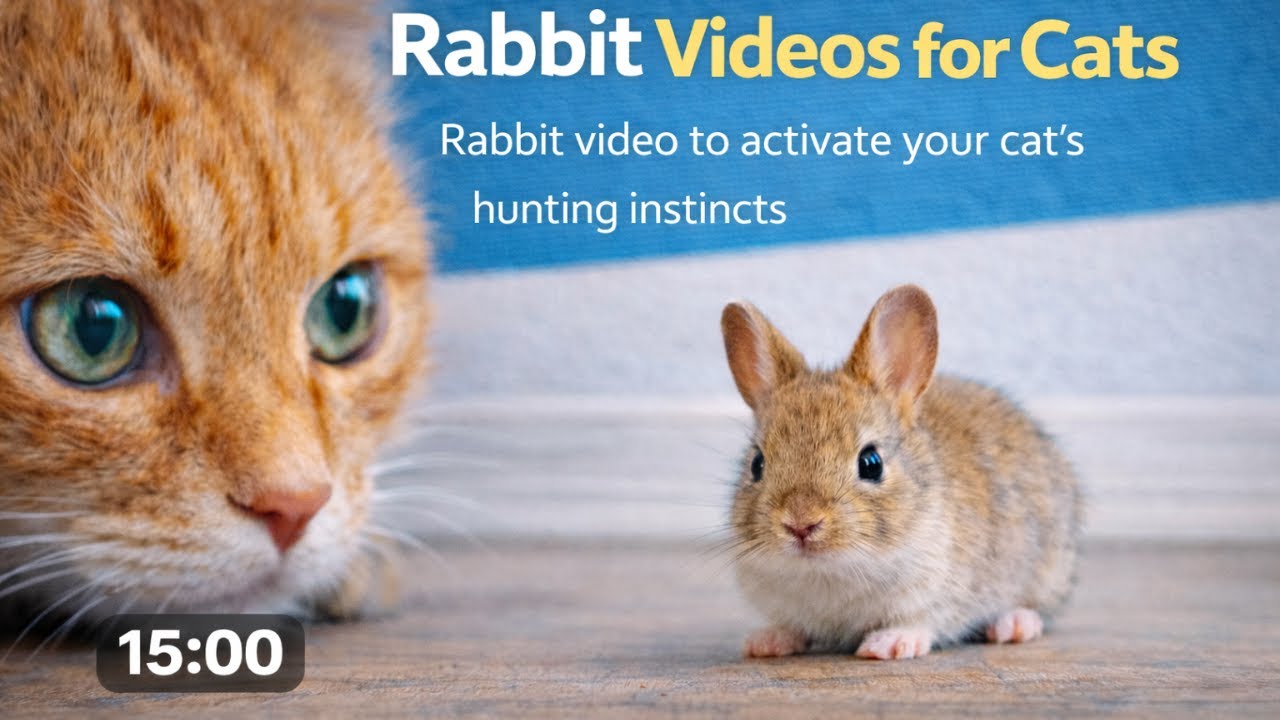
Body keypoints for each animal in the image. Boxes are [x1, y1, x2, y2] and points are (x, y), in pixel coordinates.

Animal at [719, 284, 1081, 660]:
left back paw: (1016, 624)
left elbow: (921, 621)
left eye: (871, 463)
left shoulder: (939, 594)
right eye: (757, 464)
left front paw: (888, 644)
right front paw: (767, 641)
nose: (801, 524)